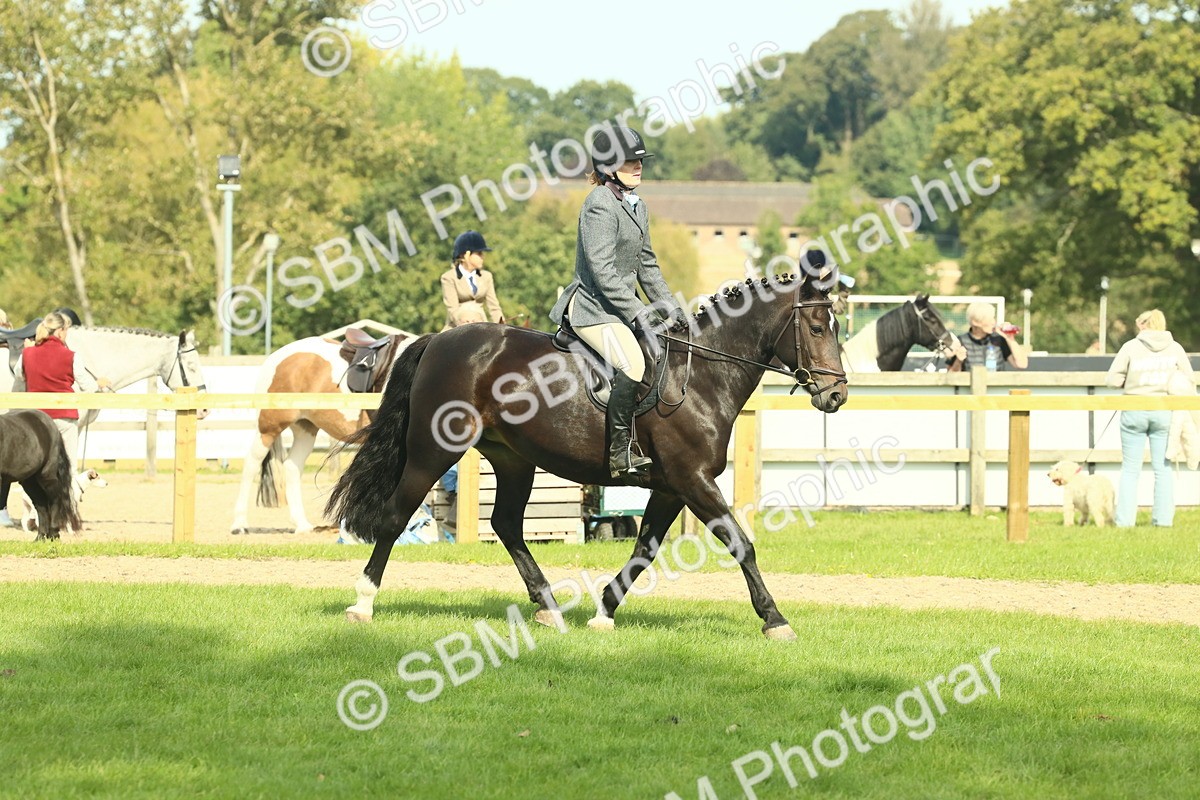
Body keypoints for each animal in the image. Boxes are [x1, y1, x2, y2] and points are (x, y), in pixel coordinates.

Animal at [0, 410, 82, 540]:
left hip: (47, 476)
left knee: (55, 500)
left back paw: (53, 534)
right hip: (30, 482)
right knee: (41, 505)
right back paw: (40, 537)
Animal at [230, 332, 412, 535]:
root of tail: (277, 357)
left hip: (305, 429)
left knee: (292, 467)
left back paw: (301, 524)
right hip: (269, 427)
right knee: (252, 464)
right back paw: (240, 524)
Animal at [326, 269, 848, 639]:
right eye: (817, 327)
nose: (836, 395)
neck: (700, 376)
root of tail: (438, 339)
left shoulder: (671, 487)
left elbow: (644, 550)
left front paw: (604, 611)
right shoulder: (693, 480)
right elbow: (741, 543)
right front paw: (775, 619)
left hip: (514, 459)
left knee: (506, 525)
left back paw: (549, 608)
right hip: (433, 450)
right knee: (396, 516)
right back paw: (362, 604)